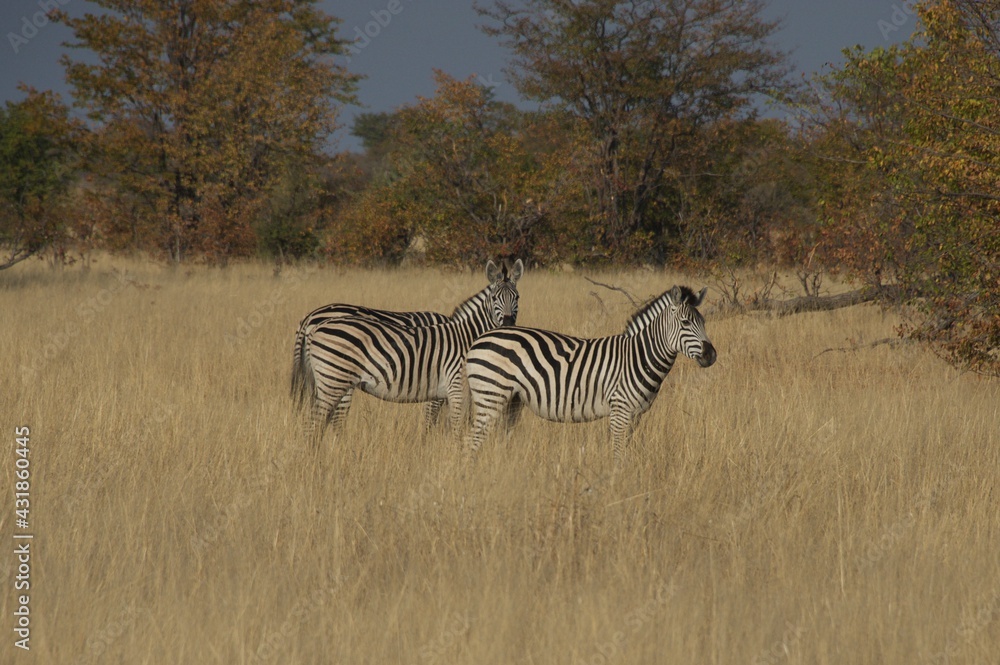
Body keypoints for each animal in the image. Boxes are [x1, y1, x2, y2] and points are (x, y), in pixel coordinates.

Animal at [303, 259, 524, 443]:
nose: (508, 322)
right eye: (494, 297)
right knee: (317, 423)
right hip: (334, 380)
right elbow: (450, 425)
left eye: (518, 297)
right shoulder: (454, 387)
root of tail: (314, 324)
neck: (466, 336)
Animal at [464, 285, 716, 464]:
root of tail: (479, 339)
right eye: (685, 322)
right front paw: (616, 487)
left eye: (703, 322)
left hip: (511, 401)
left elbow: (625, 451)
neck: (638, 356)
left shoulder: (636, 415)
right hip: (490, 395)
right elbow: (618, 455)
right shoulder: (620, 410)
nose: (711, 355)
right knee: (473, 442)